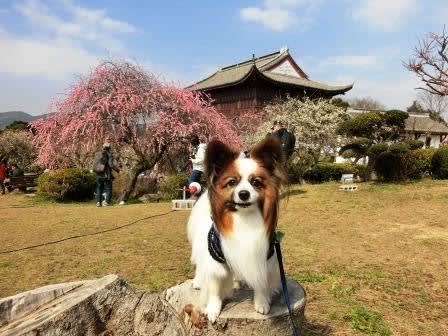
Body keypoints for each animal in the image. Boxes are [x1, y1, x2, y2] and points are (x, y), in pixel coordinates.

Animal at [186, 137, 288, 322]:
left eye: (256, 182)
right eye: (232, 182)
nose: (243, 194)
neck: (244, 218)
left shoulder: (264, 257)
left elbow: (261, 282)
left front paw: (262, 303)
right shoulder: (215, 258)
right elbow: (214, 286)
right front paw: (213, 308)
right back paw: (198, 282)